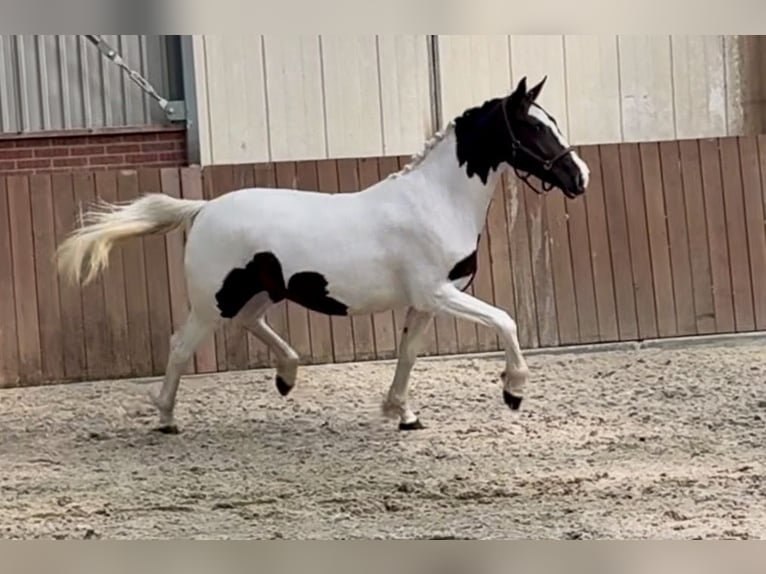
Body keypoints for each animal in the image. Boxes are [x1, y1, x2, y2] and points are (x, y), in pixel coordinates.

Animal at [56, 76, 590, 434]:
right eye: (533, 128)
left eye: (553, 123)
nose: (579, 177)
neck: (436, 201)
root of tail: (203, 208)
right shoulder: (437, 293)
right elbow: (505, 320)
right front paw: (513, 389)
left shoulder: (425, 302)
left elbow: (408, 354)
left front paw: (402, 413)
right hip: (212, 302)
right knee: (180, 347)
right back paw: (166, 416)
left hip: (260, 292)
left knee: (250, 324)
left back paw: (287, 376)